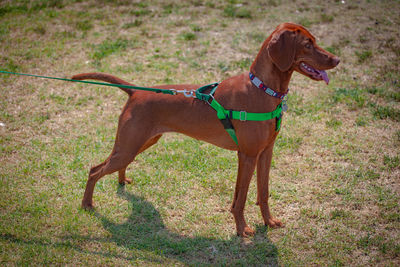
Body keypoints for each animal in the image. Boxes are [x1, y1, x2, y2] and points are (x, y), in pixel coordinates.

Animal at [72, 23, 338, 237]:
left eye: (315, 40)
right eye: (307, 44)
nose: (337, 60)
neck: (262, 89)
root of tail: (136, 92)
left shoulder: (265, 153)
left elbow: (261, 193)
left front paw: (269, 221)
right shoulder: (248, 155)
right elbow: (241, 198)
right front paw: (242, 229)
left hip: (141, 142)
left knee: (114, 166)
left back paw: (121, 180)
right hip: (129, 145)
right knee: (94, 170)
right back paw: (86, 204)